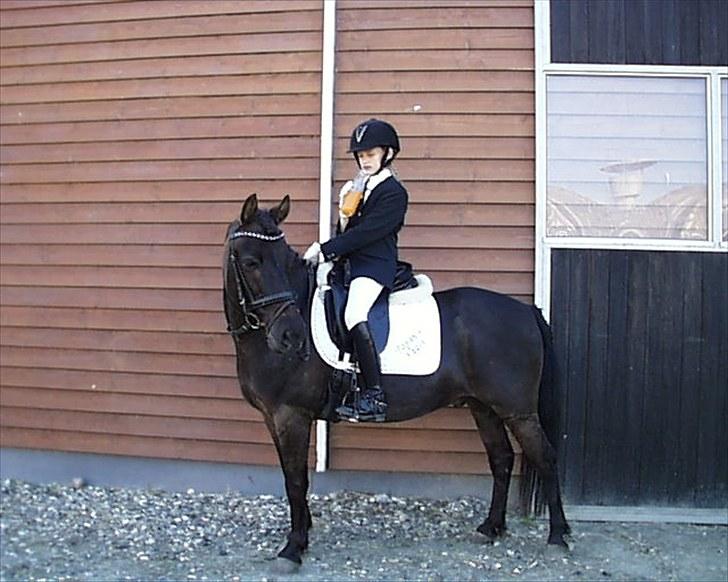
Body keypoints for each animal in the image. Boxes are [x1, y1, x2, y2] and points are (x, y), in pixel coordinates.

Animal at [222, 193, 570, 571]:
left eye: (284, 260)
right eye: (252, 263)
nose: (292, 338)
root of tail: (527, 311)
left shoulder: (291, 415)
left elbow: (296, 479)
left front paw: (293, 547)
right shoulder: (273, 418)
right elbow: (291, 477)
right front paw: (304, 531)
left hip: (517, 411)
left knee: (546, 458)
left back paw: (557, 537)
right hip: (484, 408)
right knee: (502, 458)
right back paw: (491, 528)